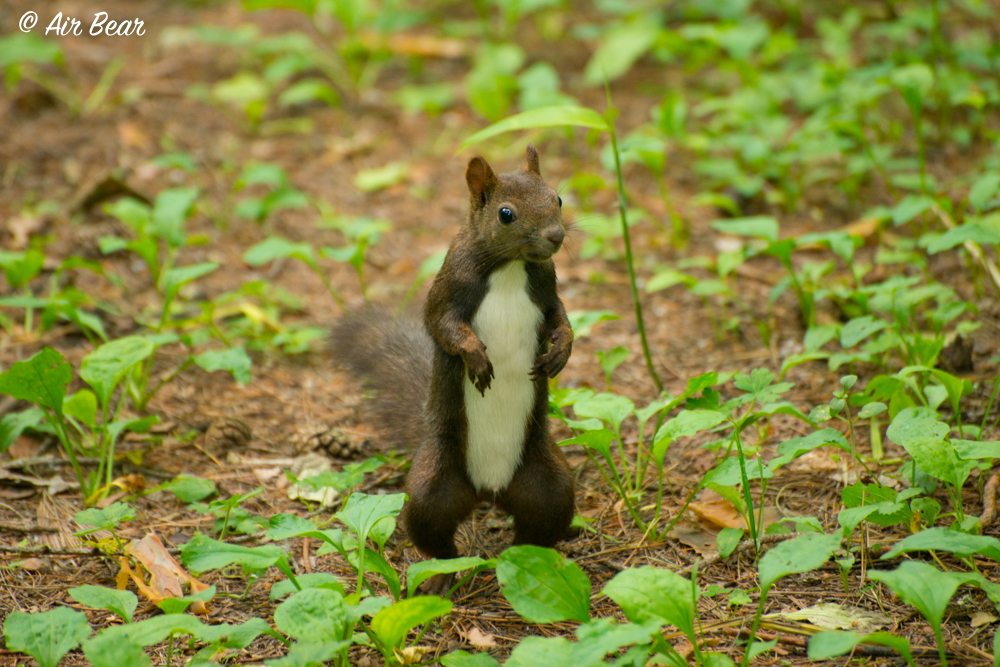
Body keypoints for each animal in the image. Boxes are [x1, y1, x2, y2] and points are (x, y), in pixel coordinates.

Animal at [332, 144, 576, 592]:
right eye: (506, 213)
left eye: (559, 198)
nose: (556, 236)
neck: (510, 267)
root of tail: (489, 491)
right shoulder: (449, 288)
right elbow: (444, 326)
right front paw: (476, 358)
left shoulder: (547, 289)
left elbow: (561, 320)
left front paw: (560, 352)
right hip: (432, 487)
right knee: (435, 539)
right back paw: (442, 578)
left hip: (551, 485)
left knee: (539, 529)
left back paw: (530, 566)